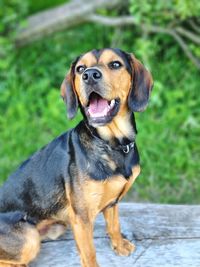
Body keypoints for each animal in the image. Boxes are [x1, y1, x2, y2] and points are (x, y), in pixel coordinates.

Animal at [0, 48, 153, 267]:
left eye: (115, 64)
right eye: (80, 68)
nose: (89, 75)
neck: (112, 144)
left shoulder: (111, 203)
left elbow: (114, 226)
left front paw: (119, 246)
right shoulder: (82, 218)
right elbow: (89, 254)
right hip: (29, 238)